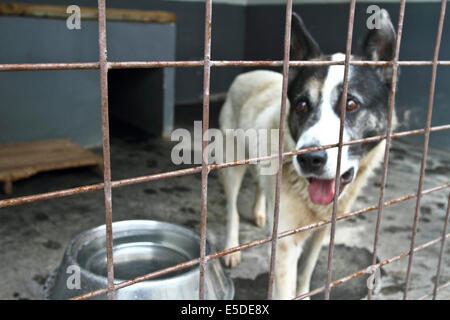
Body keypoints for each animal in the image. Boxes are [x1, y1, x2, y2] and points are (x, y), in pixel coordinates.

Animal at [218, 10, 398, 300]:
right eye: (302, 105)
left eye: (351, 104)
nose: (310, 159)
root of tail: (247, 73)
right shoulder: (285, 245)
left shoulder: (322, 231)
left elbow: (306, 272)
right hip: (232, 162)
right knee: (232, 207)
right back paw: (232, 247)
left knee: (259, 184)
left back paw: (259, 212)